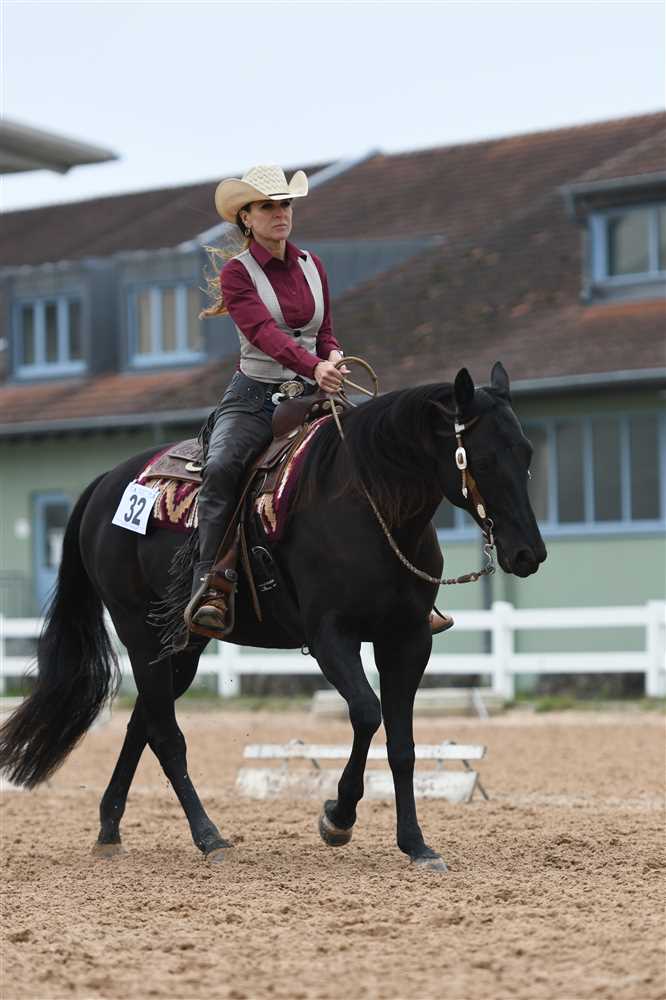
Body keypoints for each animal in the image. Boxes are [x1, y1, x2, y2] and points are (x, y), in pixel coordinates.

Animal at [0, 363, 546, 872]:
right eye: (482, 456)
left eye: (526, 453)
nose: (529, 554)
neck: (367, 505)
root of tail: (105, 484)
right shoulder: (330, 637)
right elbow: (367, 714)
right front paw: (337, 818)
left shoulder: (408, 640)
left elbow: (403, 744)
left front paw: (415, 844)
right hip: (141, 634)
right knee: (166, 735)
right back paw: (210, 837)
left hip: (184, 645)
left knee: (144, 724)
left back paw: (110, 829)